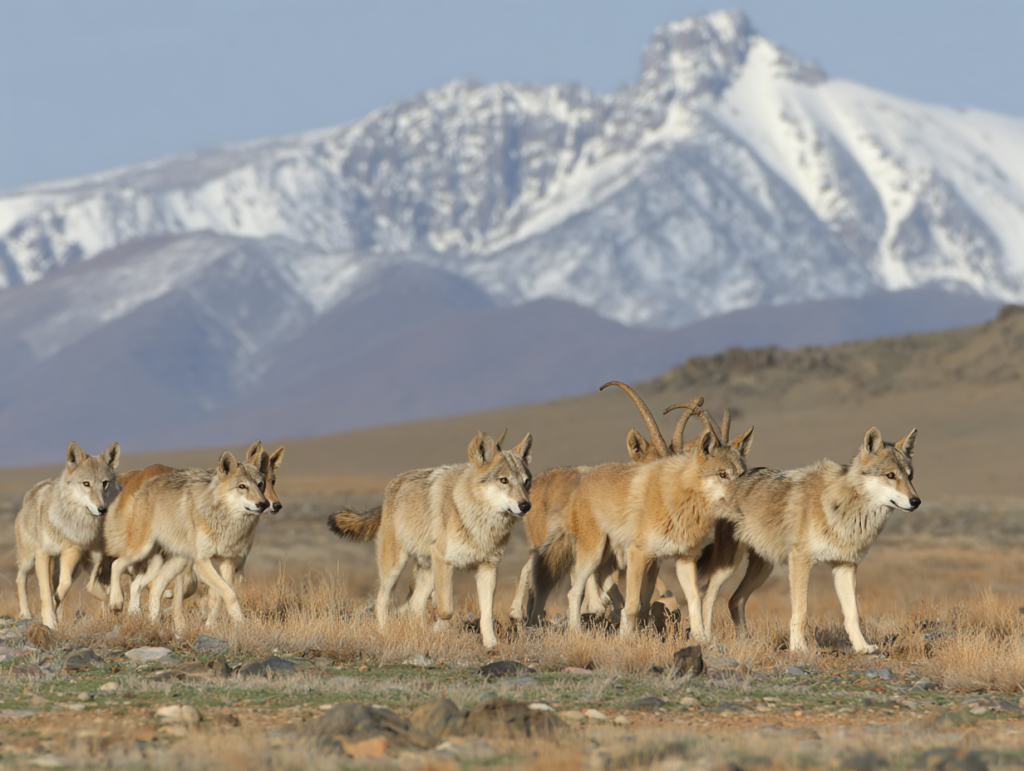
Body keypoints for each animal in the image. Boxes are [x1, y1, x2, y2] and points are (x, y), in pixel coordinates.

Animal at [15, 441, 121, 629]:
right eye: (86, 484)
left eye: (105, 483)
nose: (102, 509)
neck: (71, 523)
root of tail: (32, 492)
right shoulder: (43, 553)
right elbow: (45, 591)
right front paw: (49, 622)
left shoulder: (72, 553)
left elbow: (64, 585)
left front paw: (54, 613)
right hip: (28, 559)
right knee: (20, 579)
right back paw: (25, 613)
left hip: (79, 564)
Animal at [104, 450, 269, 628]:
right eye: (242, 486)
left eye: (260, 484)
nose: (264, 504)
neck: (224, 520)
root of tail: (146, 483)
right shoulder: (201, 562)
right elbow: (230, 594)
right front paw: (242, 624)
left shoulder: (227, 561)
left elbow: (221, 595)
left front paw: (217, 625)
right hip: (142, 551)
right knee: (117, 564)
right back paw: (116, 603)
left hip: (174, 562)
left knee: (149, 586)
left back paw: (149, 622)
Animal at [328, 431, 532, 649]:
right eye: (503, 480)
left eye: (526, 482)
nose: (525, 506)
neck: (479, 522)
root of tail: (391, 486)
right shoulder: (444, 561)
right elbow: (446, 609)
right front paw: (438, 632)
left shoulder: (488, 568)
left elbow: (487, 614)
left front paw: (491, 645)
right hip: (395, 568)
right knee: (381, 602)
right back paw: (385, 633)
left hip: (428, 572)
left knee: (415, 605)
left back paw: (417, 634)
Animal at [698, 427, 919, 654]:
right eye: (890, 475)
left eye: (910, 476)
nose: (916, 501)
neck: (845, 509)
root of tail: (733, 479)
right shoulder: (800, 561)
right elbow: (801, 611)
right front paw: (799, 648)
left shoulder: (845, 566)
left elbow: (852, 614)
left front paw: (862, 647)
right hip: (729, 565)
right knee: (707, 597)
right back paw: (707, 639)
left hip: (763, 570)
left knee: (735, 600)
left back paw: (746, 641)